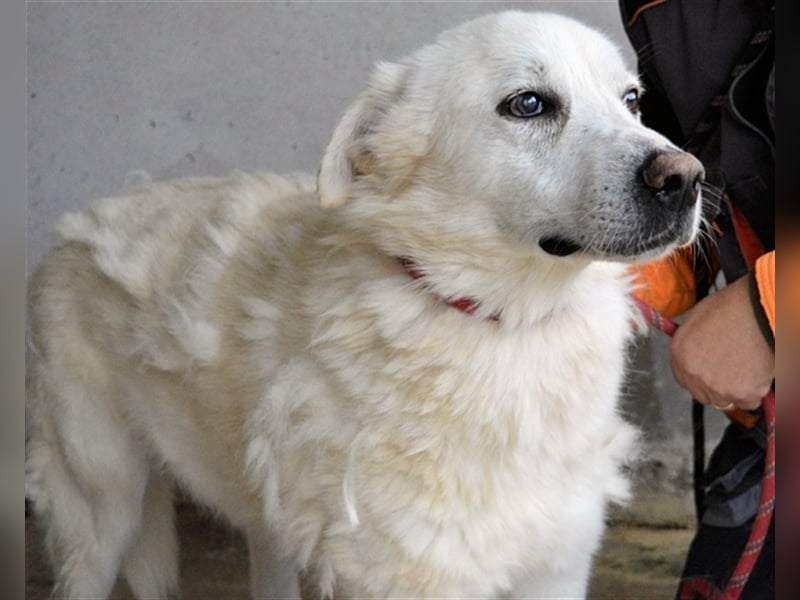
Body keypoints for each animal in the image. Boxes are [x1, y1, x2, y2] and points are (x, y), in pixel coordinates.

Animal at [25, 10, 700, 600]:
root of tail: (81, 219)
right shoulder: (411, 575)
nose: (686, 178)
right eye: (528, 104)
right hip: (101, 505)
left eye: (632, 100)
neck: (503, 324)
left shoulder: (558, 565)